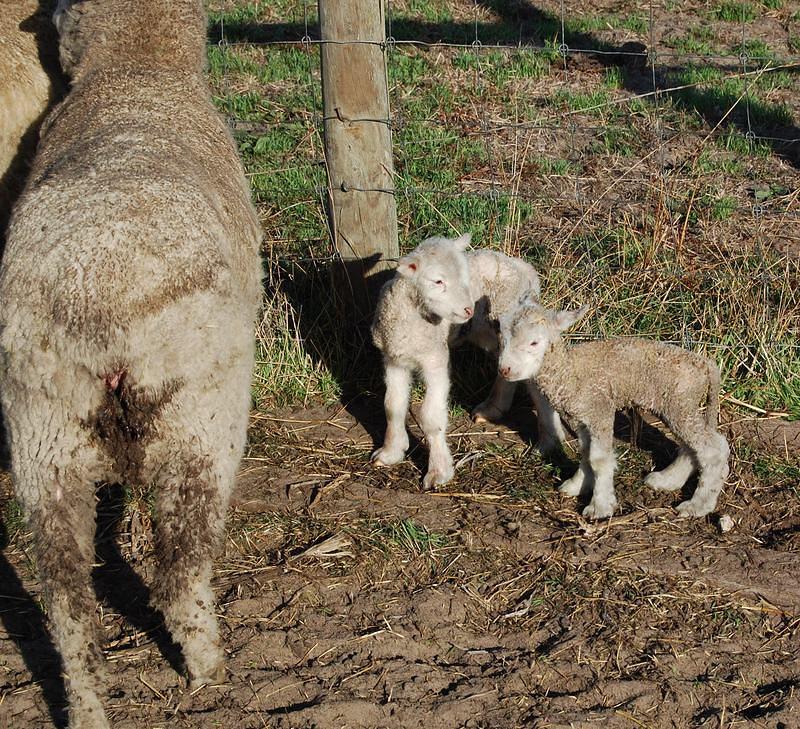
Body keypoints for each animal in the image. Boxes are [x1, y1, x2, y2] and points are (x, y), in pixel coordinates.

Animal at [0, 2, 262, 724]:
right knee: (179, 574)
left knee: (67, 605)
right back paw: (210, 672)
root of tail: (105, 322)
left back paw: (87, 706)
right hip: (201, 424)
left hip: (43, 440)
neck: (137, 69)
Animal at [500, 302, 732, 516]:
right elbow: (586, 453)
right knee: (692, 446)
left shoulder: (599, 410)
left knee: (714, 449)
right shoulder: (582, 418)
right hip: (679, 405)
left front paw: (599, 506)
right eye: (504, 339)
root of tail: (705, 364)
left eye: (534, 342)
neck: (568, 372)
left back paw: (698, 505)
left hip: (680, 403)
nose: (504, 370)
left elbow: (599, 459)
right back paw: (666, 480)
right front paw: (578, 484)